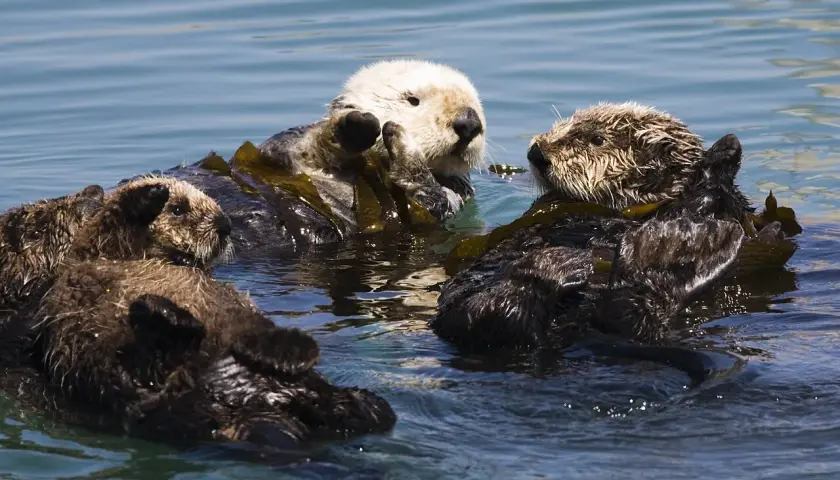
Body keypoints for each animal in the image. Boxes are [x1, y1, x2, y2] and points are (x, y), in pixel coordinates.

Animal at [154, 59, 486, 251]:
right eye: (412, 99)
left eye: (476, 103)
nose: (469, 123)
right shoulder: (282, 151)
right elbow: (299, 144)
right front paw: (355, 127)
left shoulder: (452, 197)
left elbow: (427, 200)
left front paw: (404, 146)